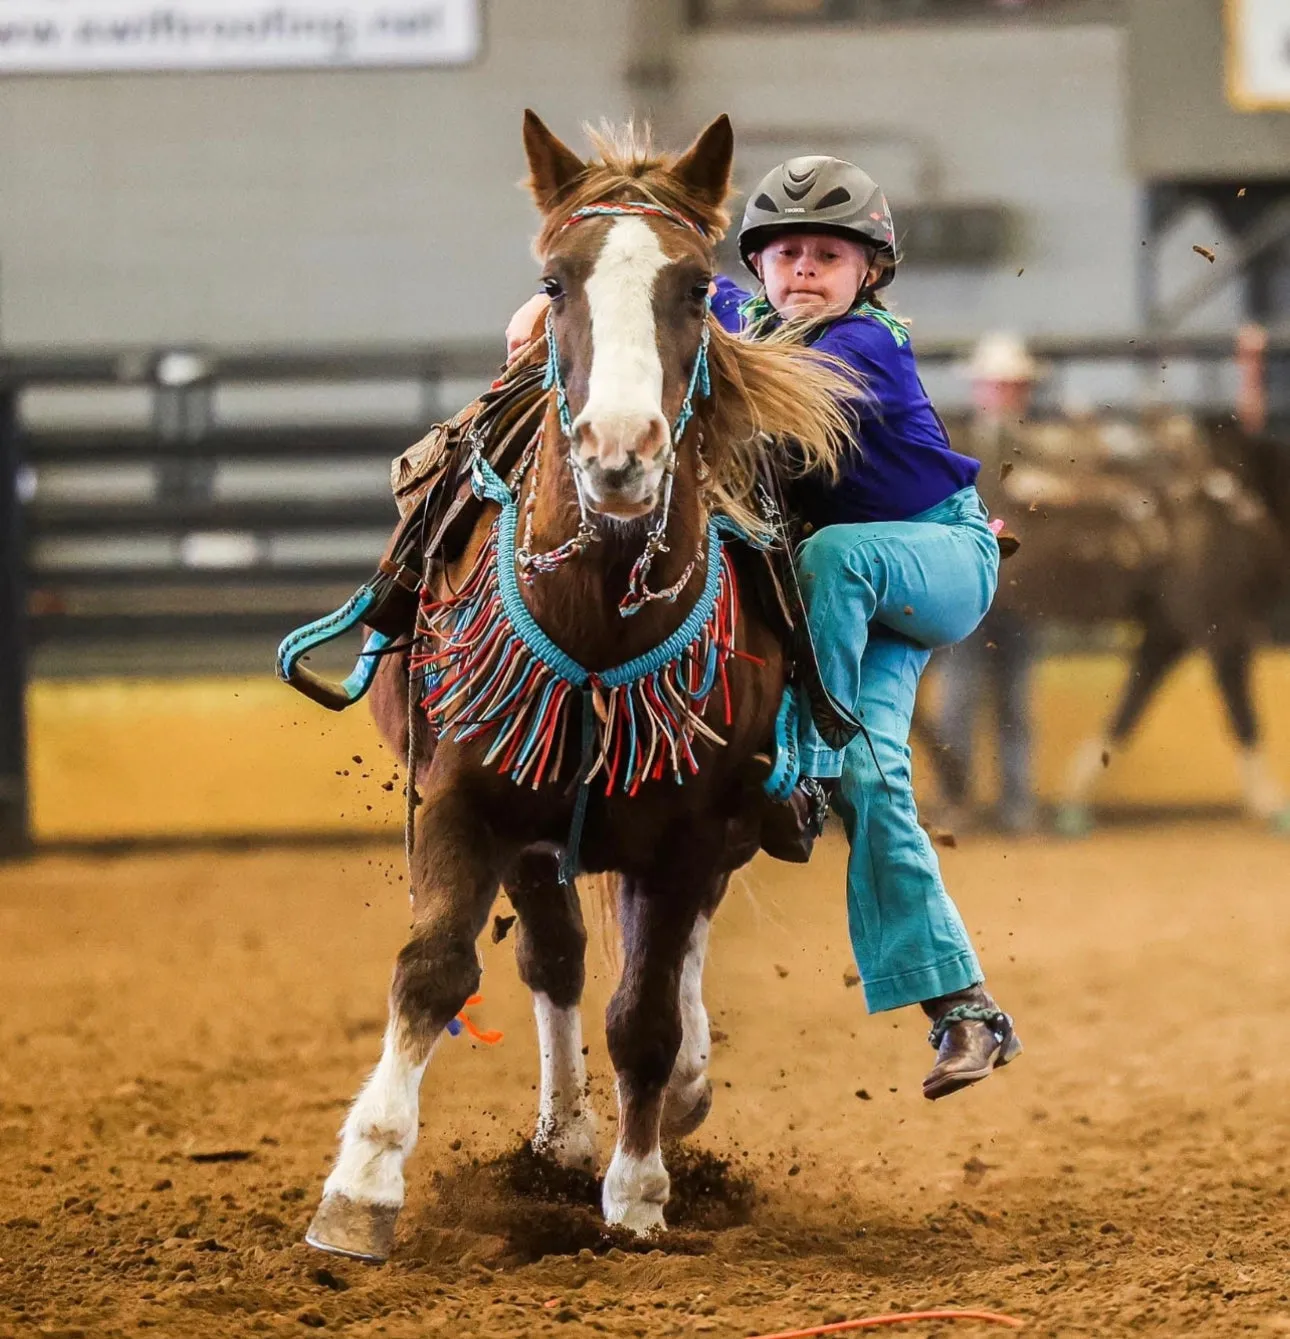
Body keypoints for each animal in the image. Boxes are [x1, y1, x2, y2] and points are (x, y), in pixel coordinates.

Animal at [300, 109, 846, 1258]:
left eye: (696, 285)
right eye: (554, 281)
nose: (620, 450)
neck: (596, 611)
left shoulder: (691, 828)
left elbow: (645, 1011)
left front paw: (637, 1193)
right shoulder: (464, 799)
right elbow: (435, 968)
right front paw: (361, 1188)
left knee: (667, 957)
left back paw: (673, 1095)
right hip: (536, 832)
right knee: (555, 957)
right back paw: (560, 1134)